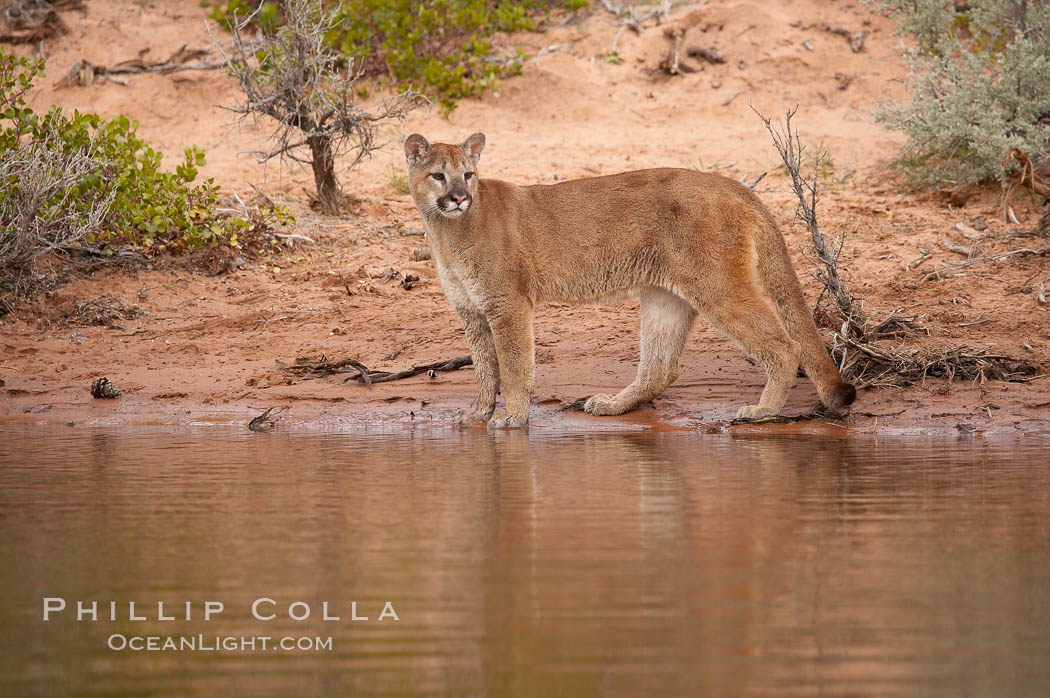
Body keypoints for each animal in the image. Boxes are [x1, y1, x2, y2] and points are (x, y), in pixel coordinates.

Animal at [405, 130, 856, 424]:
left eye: (468, 174)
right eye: (439, 175)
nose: (460, 197)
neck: (447, 230)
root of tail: (734, 185)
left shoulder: (507, 305)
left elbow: (514, 365)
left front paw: (511, 419)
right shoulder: (472, 312)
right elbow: (485, 367)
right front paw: (477, 414)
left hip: (717, 287)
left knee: (783, 345)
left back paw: (762, 412)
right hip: (664, 295)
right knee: (661, 368)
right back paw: (611, 405)